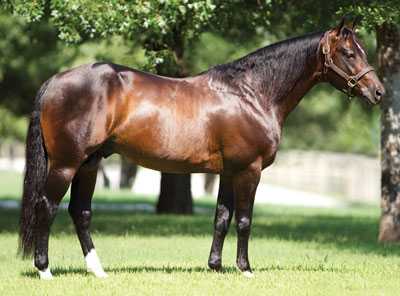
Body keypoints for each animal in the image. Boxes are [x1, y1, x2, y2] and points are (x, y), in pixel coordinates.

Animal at [18, 19, 384, 280]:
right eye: (349, 53)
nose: (378, 92)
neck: (251, 93)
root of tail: (55, 81)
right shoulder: (249, 170)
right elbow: (245, 219)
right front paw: (245, 269)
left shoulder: (228, 172)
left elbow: (222, 217)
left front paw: (216, 266)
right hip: (66, 164)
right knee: (47, 207)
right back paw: (45, 270)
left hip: (90, 164)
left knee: (80, 212)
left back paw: (98, 271)